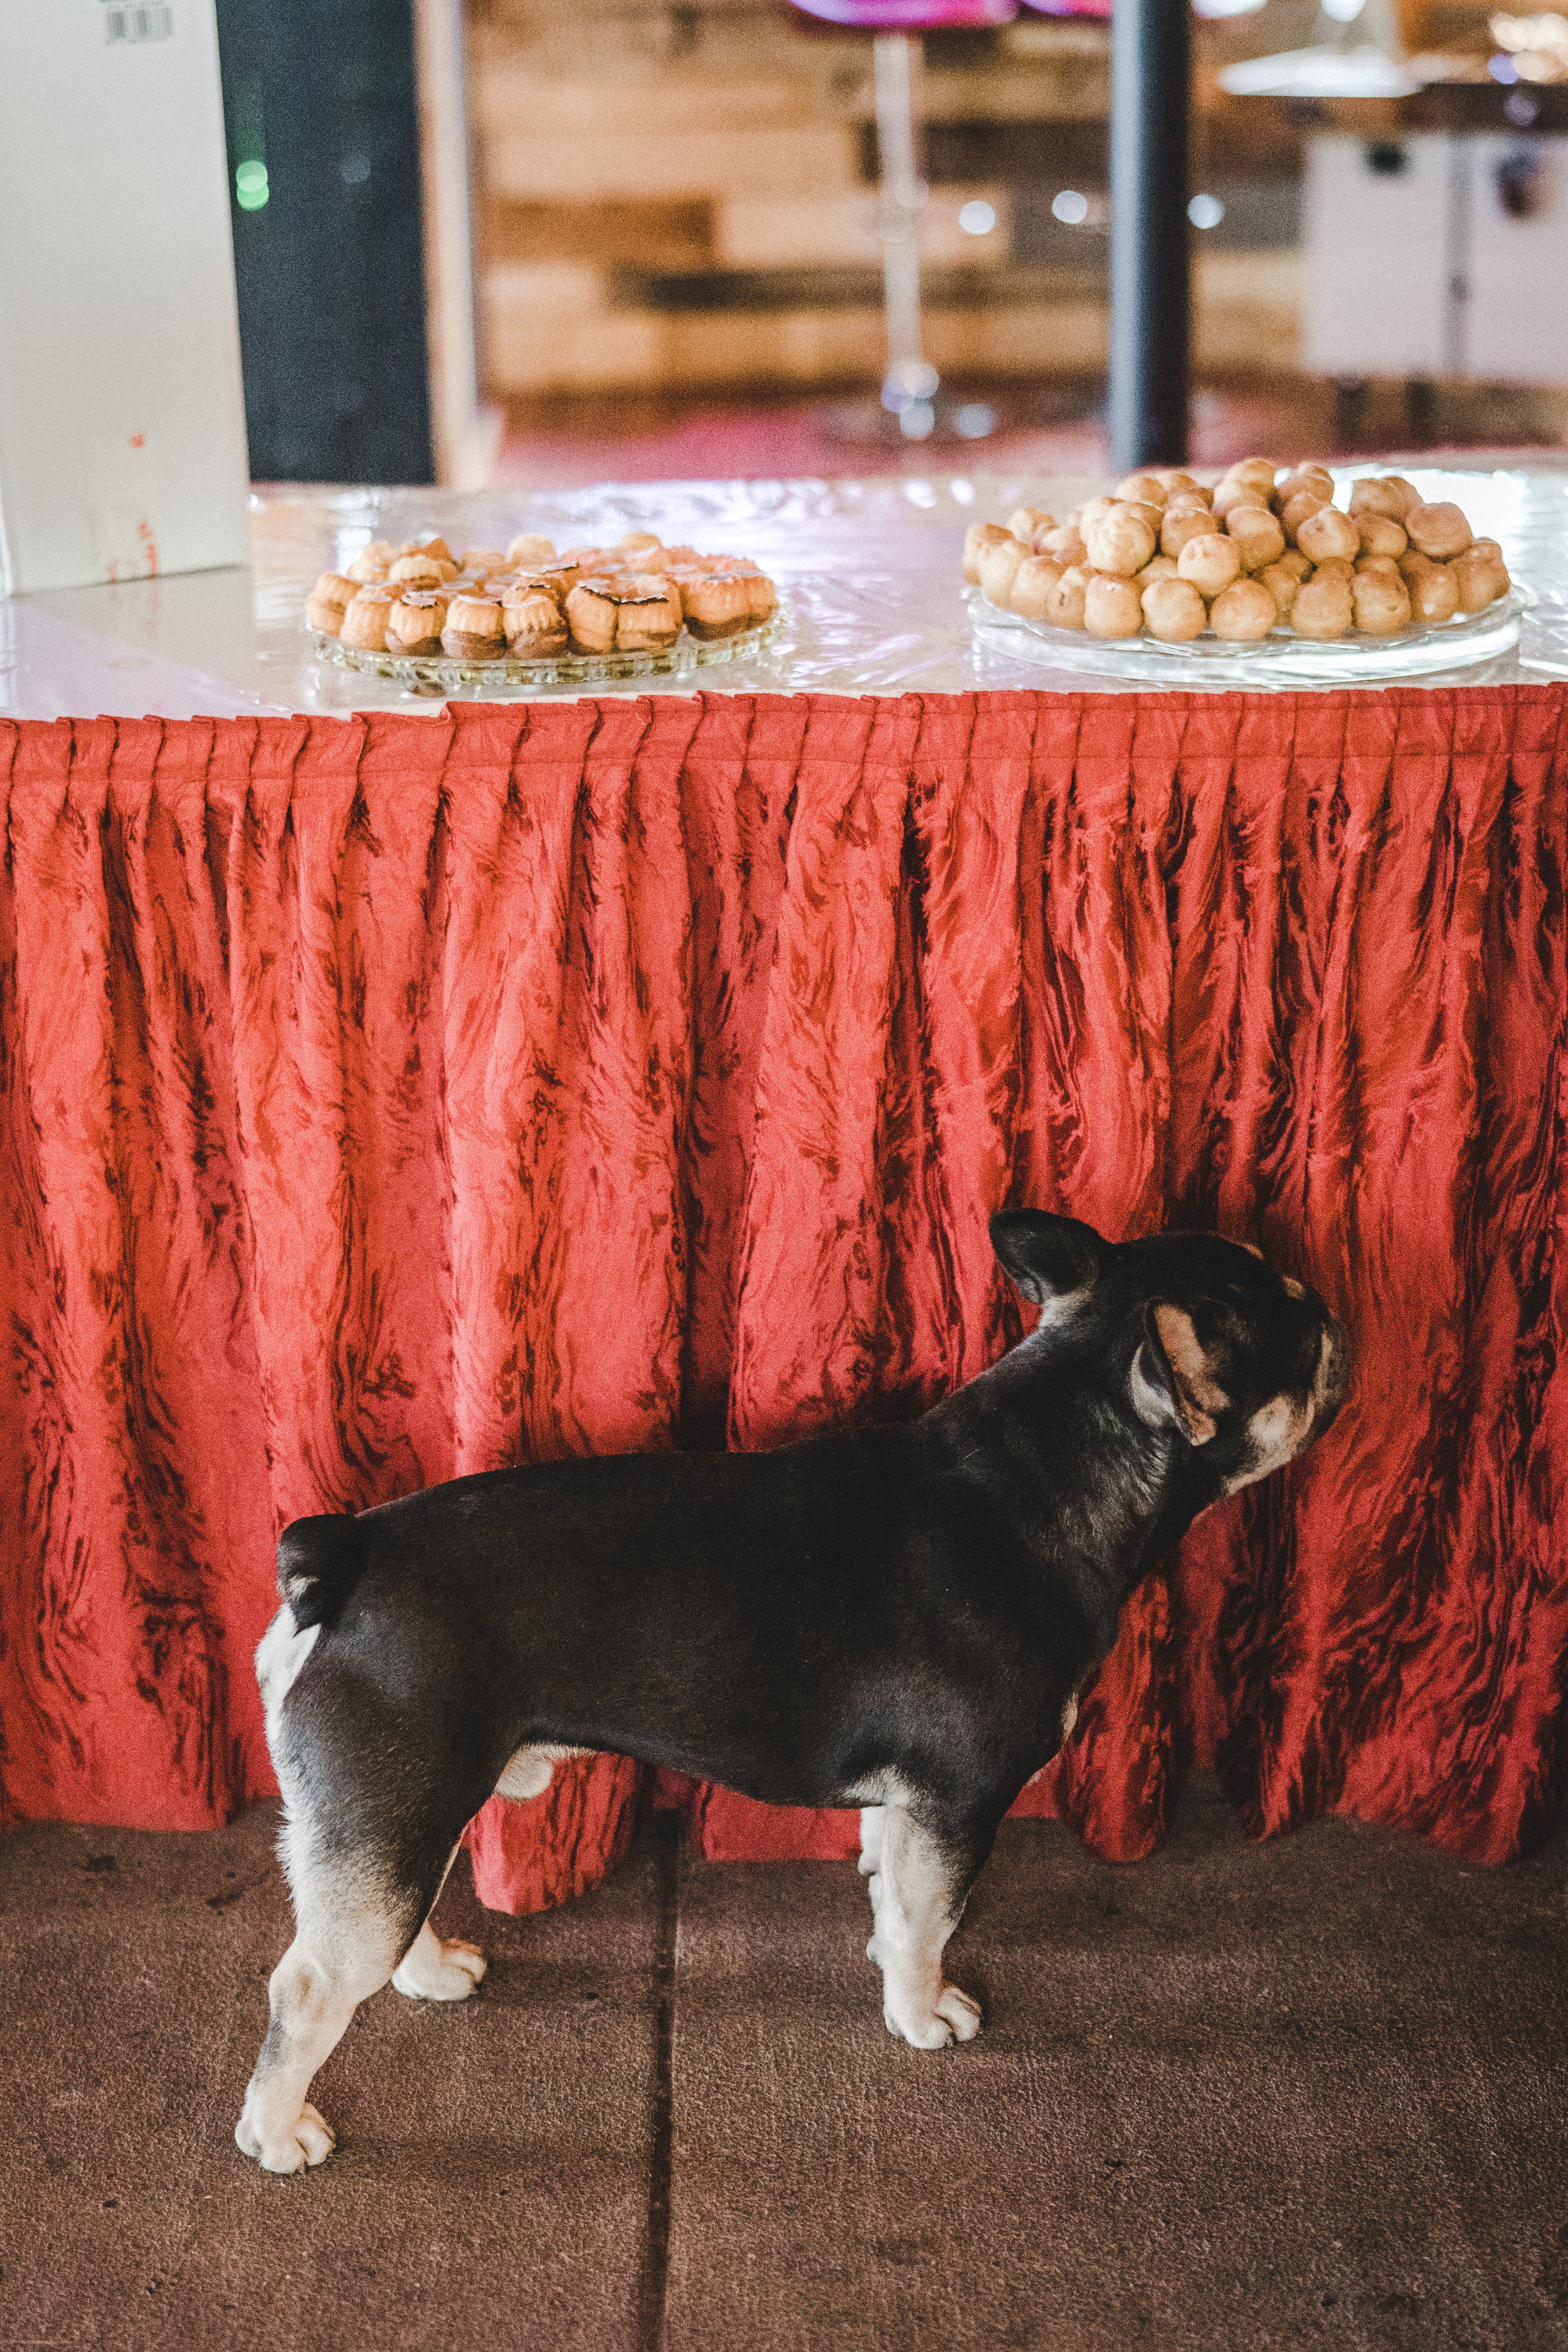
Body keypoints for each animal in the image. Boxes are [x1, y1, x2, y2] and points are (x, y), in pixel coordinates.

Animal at [236, 1204, 1353, 2173]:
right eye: (1297, 1333)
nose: (1339, 1315)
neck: (1054, 1467)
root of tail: (344, 1558)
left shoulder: (913, 1809)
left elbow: (896, 1895)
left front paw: (888, 1954)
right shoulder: (959, 1804)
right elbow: (933, 1922)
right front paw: (922, 2012)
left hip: (404, 1809)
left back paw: (427, 1973)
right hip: (393, 1806)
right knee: (307, 1984)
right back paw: (279, 2130)